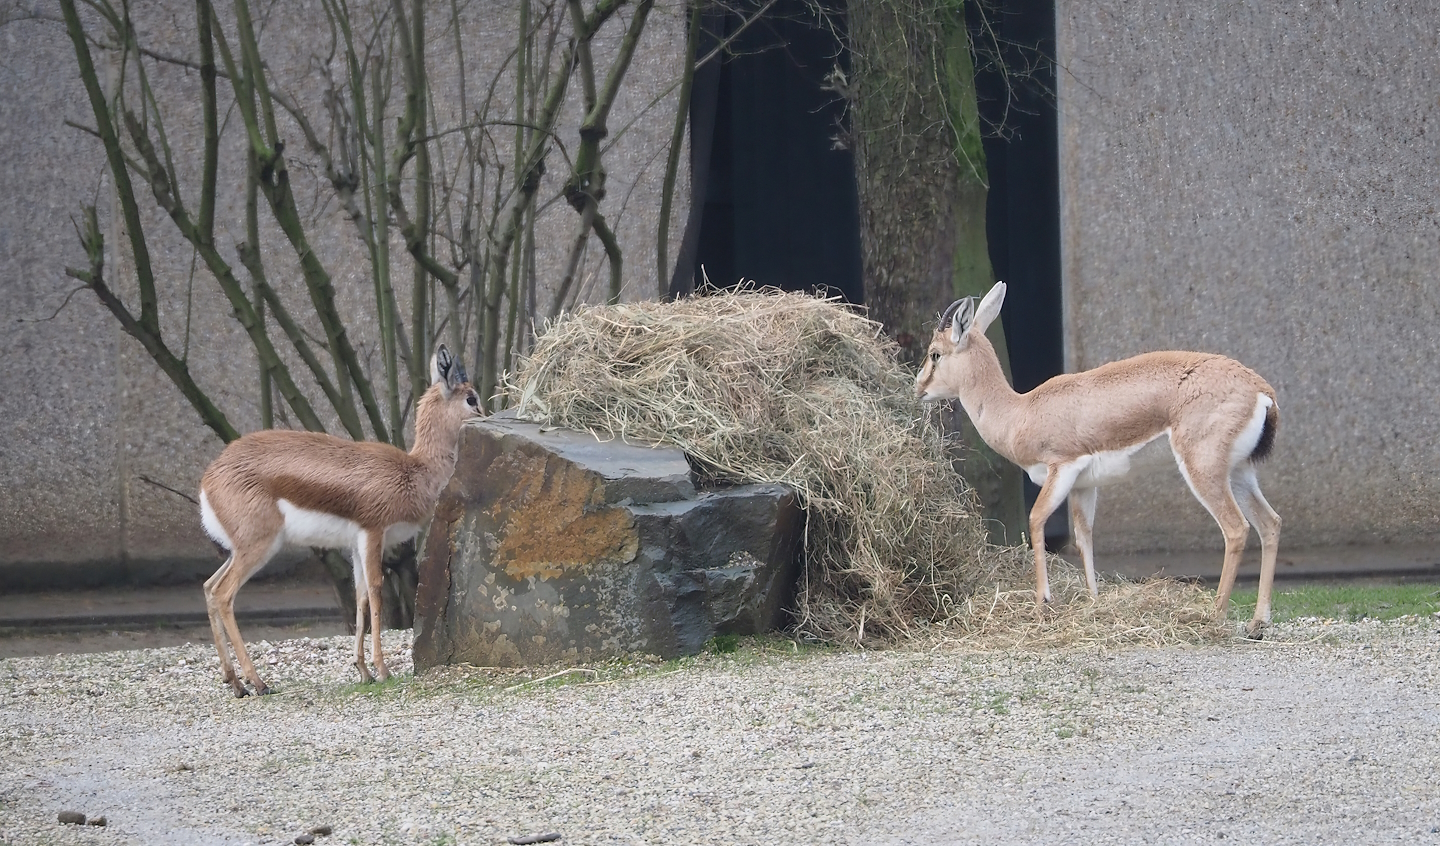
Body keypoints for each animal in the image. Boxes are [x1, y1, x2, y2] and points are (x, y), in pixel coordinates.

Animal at [199, 345, 482, 696]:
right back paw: (258, 682)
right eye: (471, 398)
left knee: (209, 588)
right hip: (259, 547)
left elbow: (360, 595)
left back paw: (235, 682)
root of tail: (209, 479)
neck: (415, 471)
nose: (486, 416)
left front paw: (363, 670)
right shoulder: (373, 532)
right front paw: (382, 669)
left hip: (240, 550)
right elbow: (376, 591)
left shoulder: (356, 544)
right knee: (224, 595)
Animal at [916, 282, 1281, 638]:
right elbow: (1084, 537)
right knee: (1270, 523)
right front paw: (1093, 601)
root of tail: (1261, 391)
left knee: (1236, 529)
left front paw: (1043, 603)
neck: (1021, 413)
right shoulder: (1083, 486)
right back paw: (1257, 624)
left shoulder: (1061, 468)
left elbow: (1036, 520)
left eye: (935, 353)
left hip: (1202, 469)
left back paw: (1215, 617)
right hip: (1238, 473)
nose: (918, 387)